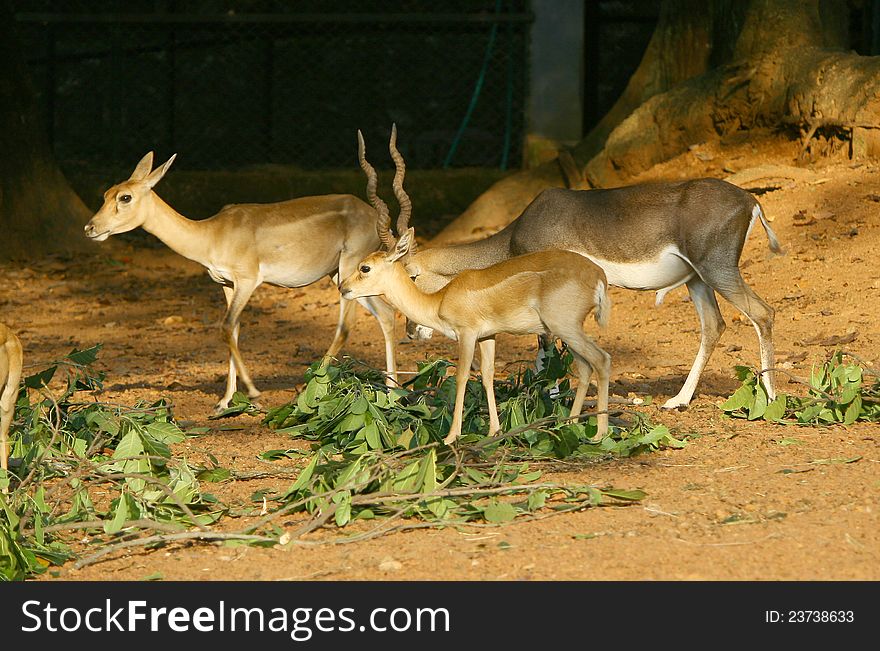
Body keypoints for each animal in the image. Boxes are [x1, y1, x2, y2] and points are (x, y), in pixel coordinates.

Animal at [82, 152, 398, 412]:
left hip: (348, 270)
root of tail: (375, 216)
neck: (211, 234)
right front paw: (224, 402)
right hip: (345, 278)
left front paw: (254, 393)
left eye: (125, 197)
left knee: (346, 327)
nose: (90, 228)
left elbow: (225, 327)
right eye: (106, 193)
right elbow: (233, 331)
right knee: (386, 315)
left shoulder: (248, 281)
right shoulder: (226, 285)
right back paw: (393, 392)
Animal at [402, 176, 780, 410]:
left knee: (763, 313)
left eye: (412, 275)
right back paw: (678, 401)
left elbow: (545, 346)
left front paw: (549, 399)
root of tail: (750, 200)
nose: (411, 331)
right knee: (714, 326)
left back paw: (771, 396)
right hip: (697, 280)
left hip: (717, 270)